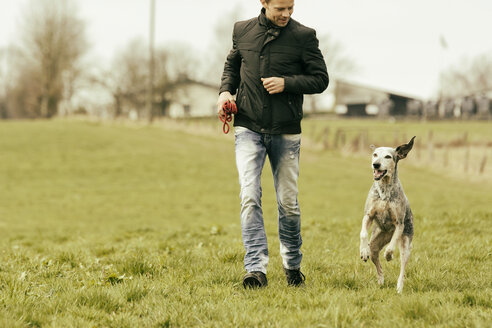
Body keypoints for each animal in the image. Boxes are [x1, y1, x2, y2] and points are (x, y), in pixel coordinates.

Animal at [358, 135, 416, 294]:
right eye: (375, 154)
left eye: (388, 156)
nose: (376, 165)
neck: (384, 190)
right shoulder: (368, 215)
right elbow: (363, 233)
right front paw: (363, 251)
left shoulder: (399, 223)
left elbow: (393, 243)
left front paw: (389, 254)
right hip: (376, 242)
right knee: (376, 261)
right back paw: (380, 281)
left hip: (406, 243)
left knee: (402, 265)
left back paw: (399, 287)